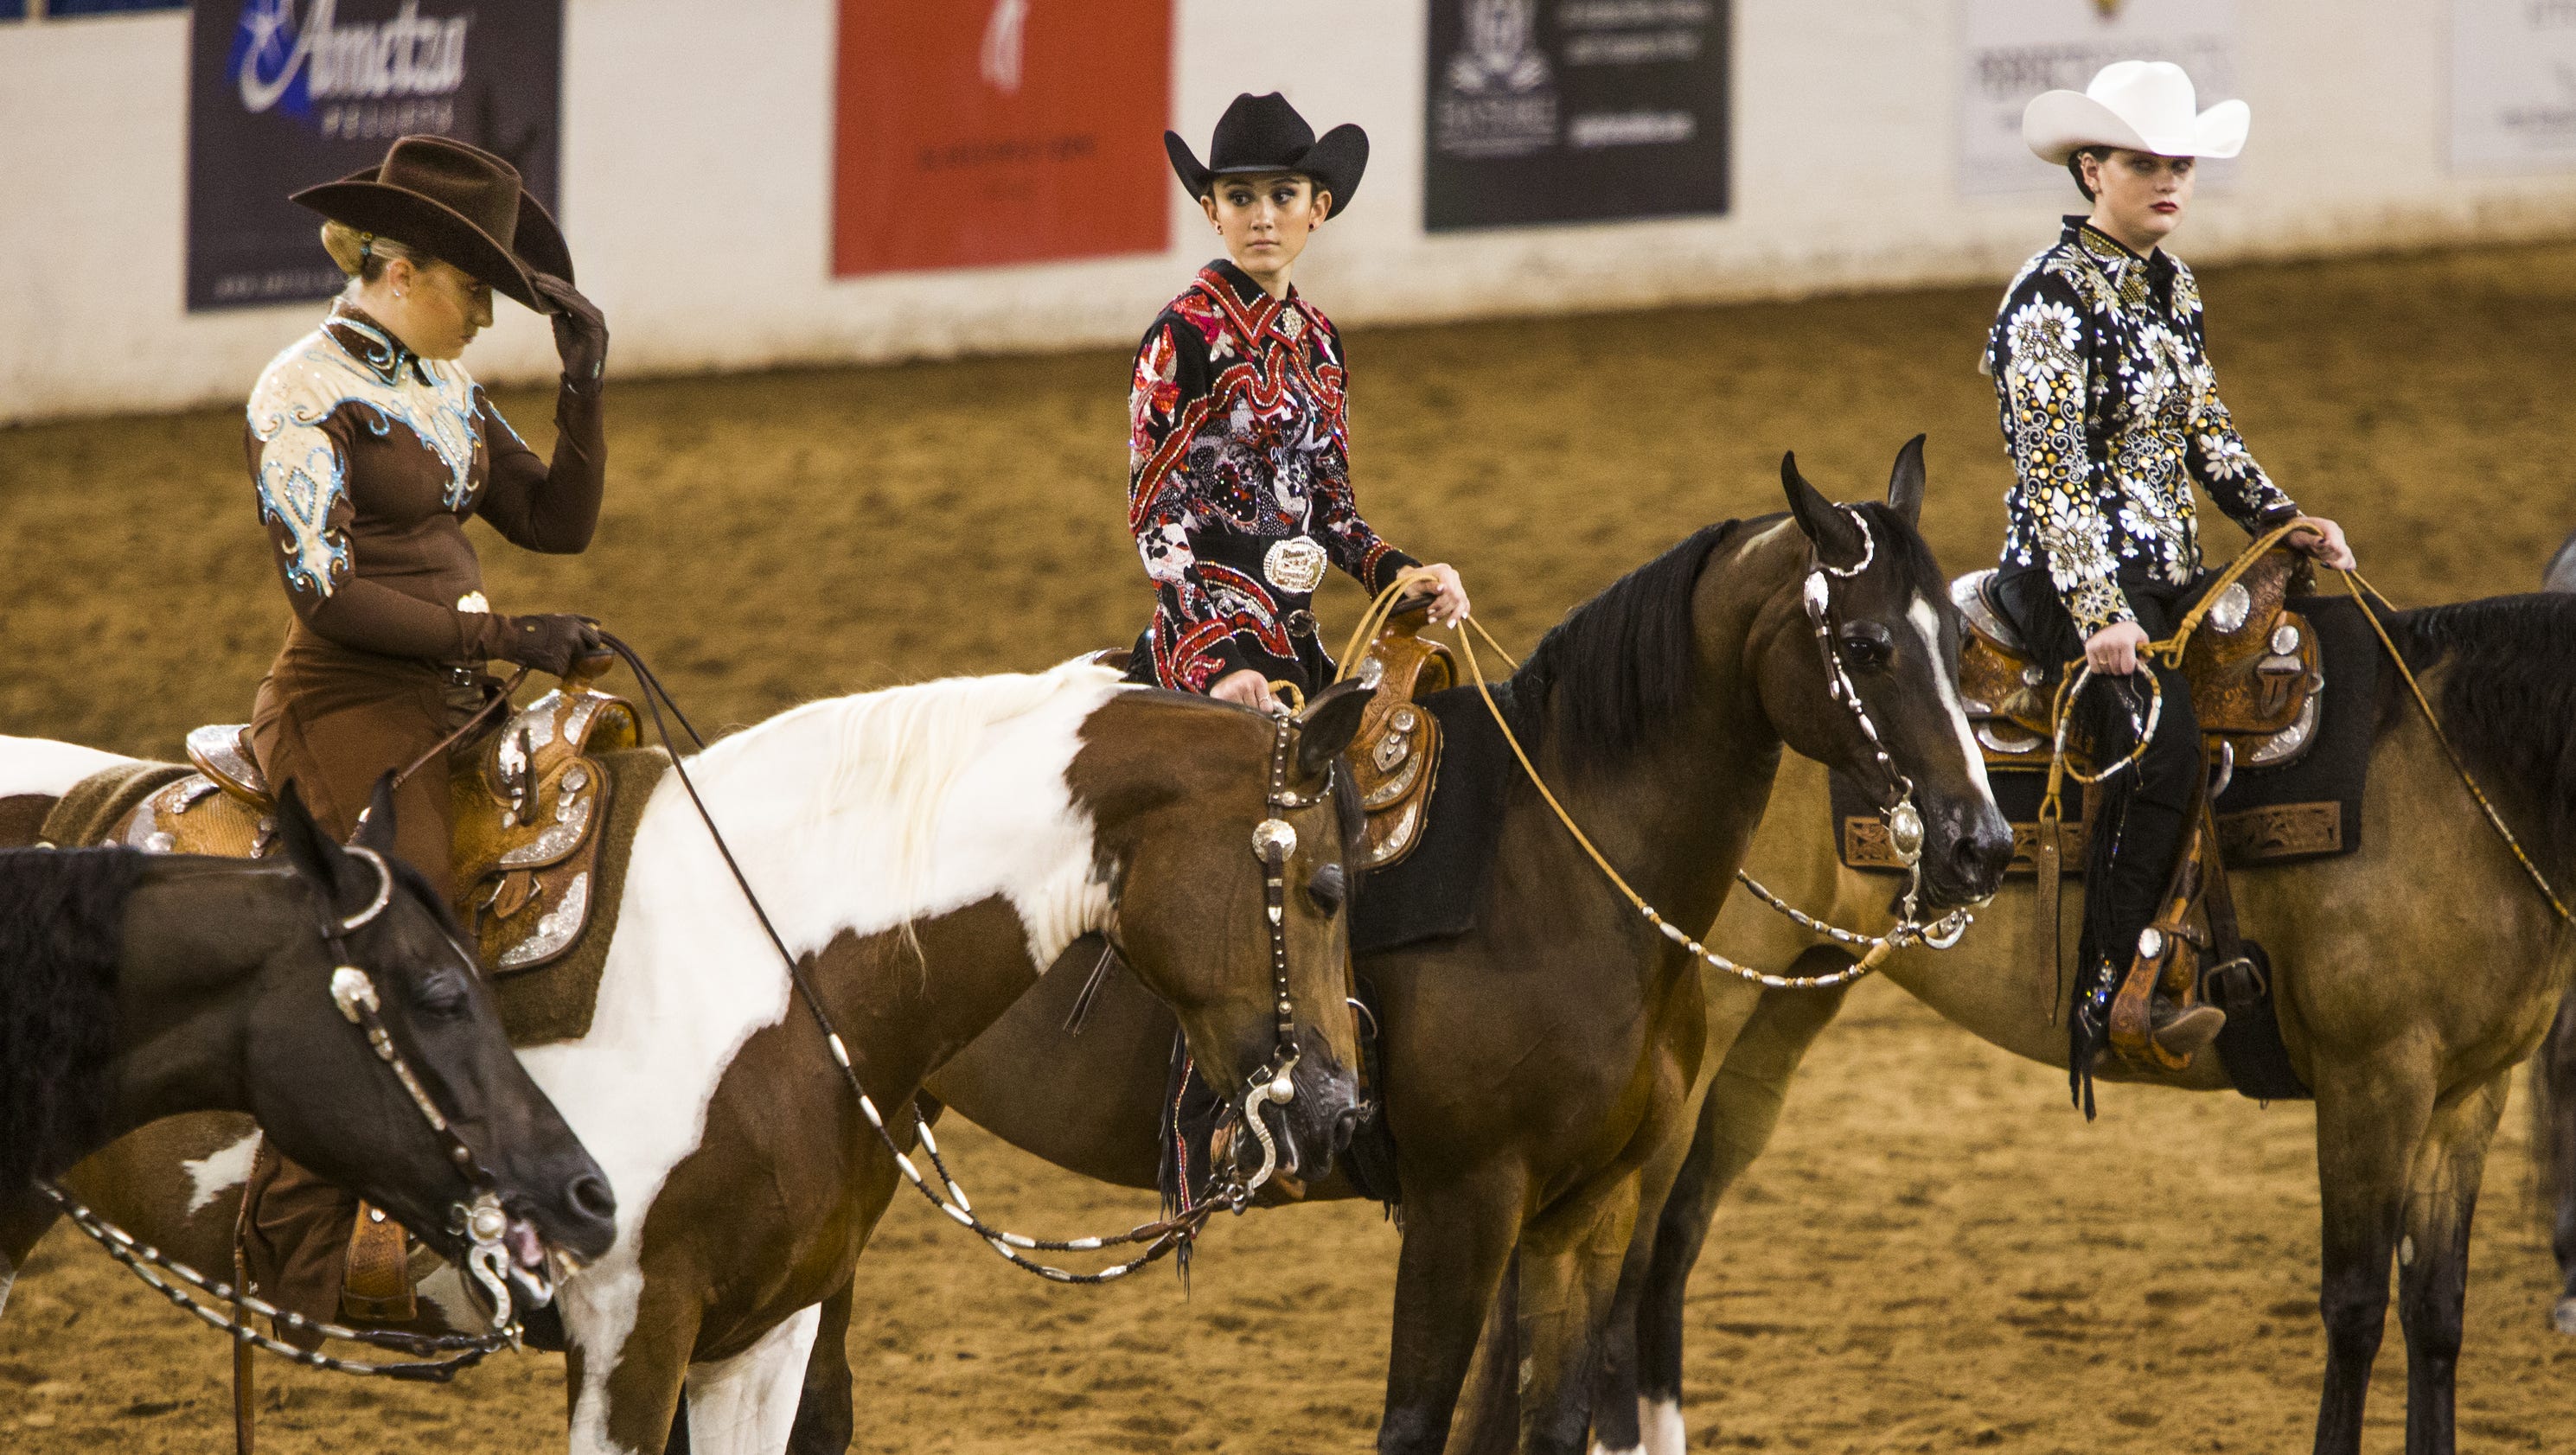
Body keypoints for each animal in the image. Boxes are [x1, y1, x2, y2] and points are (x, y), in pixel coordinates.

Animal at [732, 445, 2015, 1455]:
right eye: (1864, 644)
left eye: (1959, 636)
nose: (1980, 841)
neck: (1562, 870)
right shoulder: (1465, 1201)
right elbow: (1416, 1421)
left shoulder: (1589, 1208)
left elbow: (1549, 1422)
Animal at [1587, 592, 2576, 1455]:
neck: (2460, 783)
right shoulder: (2371, 1080)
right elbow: (2357, 1308)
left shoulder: (2466, 1097)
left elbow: (2436, 1312)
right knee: (1626, 1252)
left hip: (1776, 1013)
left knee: (1670, 1241)